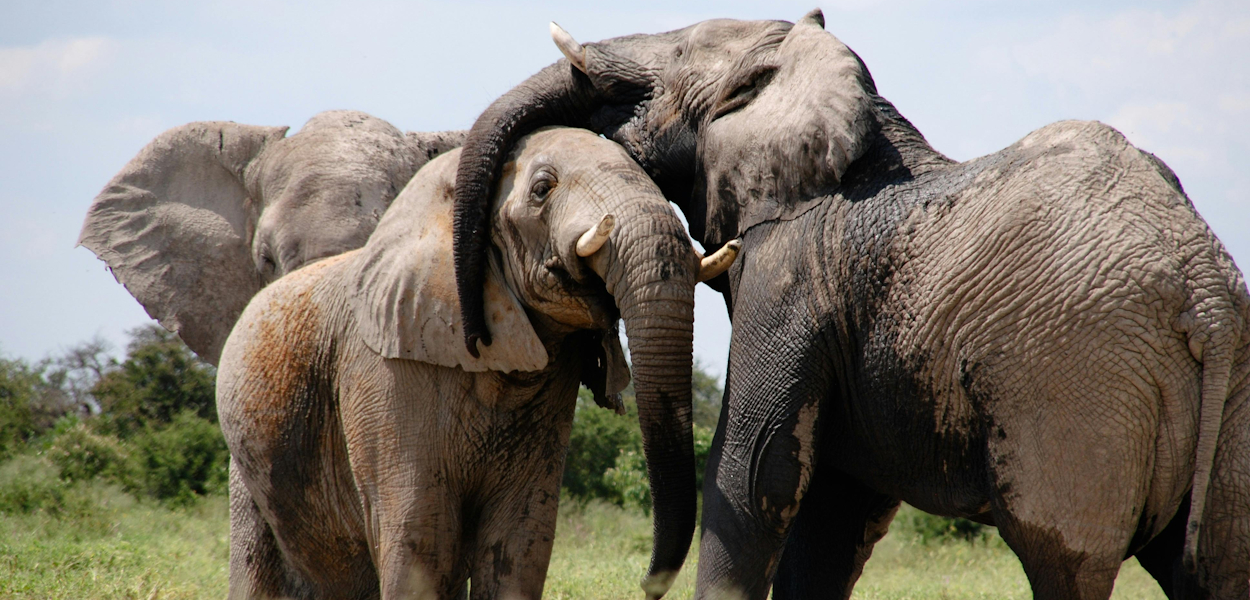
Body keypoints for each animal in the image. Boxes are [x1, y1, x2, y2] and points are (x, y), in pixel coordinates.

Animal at [216, 126, 739, 599]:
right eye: (542, 190)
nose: (647, 586)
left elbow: (520, 541)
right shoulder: (383, 375)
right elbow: (420, 540)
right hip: (247, 462)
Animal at [448, 11, 1250, 600]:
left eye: (673, 56)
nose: (477, 334)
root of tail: (1203, 291)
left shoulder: (791, 271)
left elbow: (755, 472)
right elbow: (832, 510)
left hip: (1076, 386)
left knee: (1063, 562)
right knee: (1214, 568)